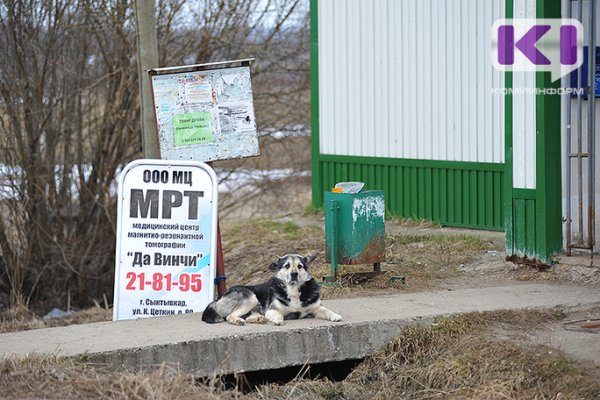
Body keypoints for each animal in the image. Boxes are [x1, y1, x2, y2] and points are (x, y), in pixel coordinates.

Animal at [202, 255, 342, 326]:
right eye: (287, 266)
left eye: (300, 266)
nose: (294, 274)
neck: (293, 290)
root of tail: (218, 298)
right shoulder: (271, 310)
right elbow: (278, 314)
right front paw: (278, 319)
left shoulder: (316, 308)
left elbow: (327, 310)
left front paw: (335, 315)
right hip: (250, 297)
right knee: (230, 316)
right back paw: (238, 321)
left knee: (248, 316)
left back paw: (258, 319)